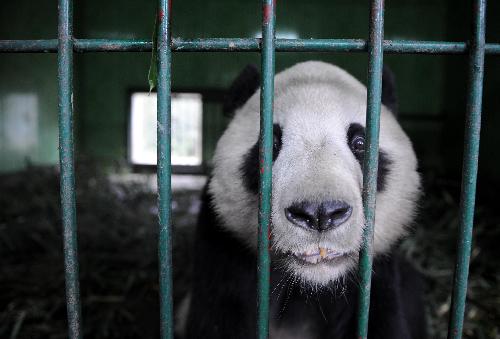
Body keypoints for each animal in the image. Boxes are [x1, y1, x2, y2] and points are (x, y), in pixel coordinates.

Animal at [184, 61, 426, 339]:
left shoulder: (378, 276)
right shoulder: (221, 248)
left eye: (359, 142)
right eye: (271, 144)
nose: (319, 213)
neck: (310, 283)